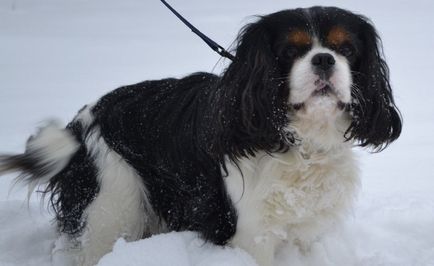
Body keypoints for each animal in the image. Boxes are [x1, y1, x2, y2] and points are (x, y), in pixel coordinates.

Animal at [0, 5, 400, 266]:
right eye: (289, 51)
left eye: (346, 49)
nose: (324, 60)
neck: (298, 140)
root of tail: (81, 123)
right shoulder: (250, 233)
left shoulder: (305, 229)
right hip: (112, 205)